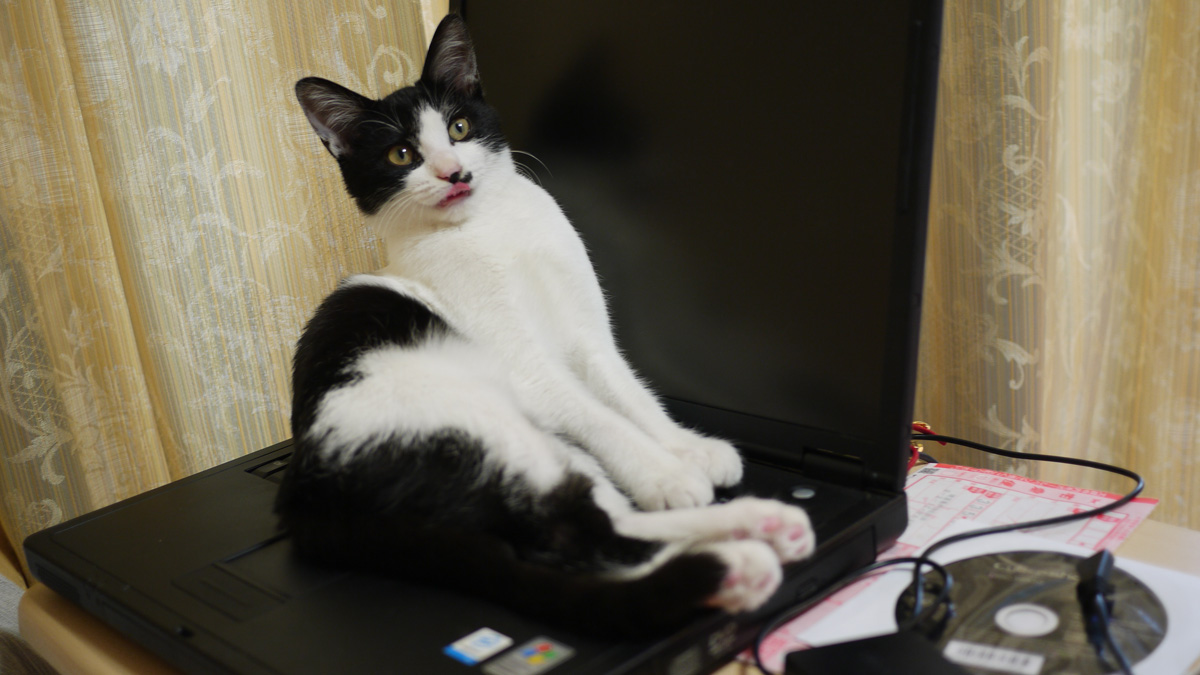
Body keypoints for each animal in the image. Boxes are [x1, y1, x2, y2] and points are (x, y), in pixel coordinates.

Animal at [275, 14, 815, 637]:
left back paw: (764, 528)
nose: (453, 172)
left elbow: (627, 391)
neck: (493, 228)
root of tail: (307, 500)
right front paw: (663, 472)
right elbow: (600, 417)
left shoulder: (587, 330)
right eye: (401, 154)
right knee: (580, 531)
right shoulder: (525, 364)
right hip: (472, 422)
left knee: (603, 518)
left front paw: (687, 447)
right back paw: (737, 563)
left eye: (459, 127)